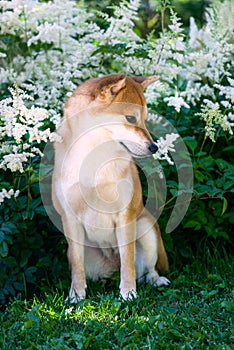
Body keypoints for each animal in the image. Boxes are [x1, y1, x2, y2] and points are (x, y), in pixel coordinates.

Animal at [52, 74, 170, 300]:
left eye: (144, 118)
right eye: (131, 118)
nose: (154, 147)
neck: (95, 157)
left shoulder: (125, 215)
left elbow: (127, 260)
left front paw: (128, 293)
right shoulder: (70, 219)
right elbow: (78, 268)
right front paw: (76, 295)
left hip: (145, 227)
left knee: (147, 270)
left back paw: (156, 280)